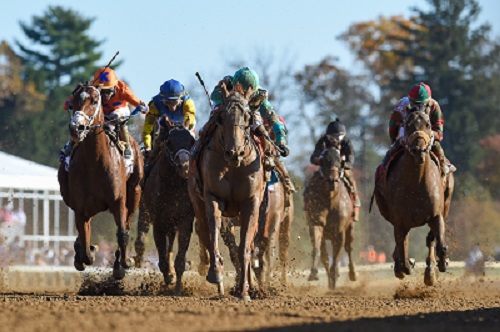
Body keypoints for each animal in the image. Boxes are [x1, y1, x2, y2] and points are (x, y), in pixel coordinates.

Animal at [57, 82, 143, 278]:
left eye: (95, 101)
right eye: (73, 101)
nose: (77, 128)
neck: (94, 162)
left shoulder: (118, 201)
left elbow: (122, 233)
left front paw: (123, 263)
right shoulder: (80, 207)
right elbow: (85, 244)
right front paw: (86, 252)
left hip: (135, 192)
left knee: (127, 223)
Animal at [135, 115, 195, 292]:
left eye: (192, 141)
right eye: (169, 141)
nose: (185, 167)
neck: (173, 185)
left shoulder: (185, 220)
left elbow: (180, 258)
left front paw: (178, 287)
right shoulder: (159, 222)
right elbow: (162, 257)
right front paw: (168, 277)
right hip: (146, 211)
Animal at [188, 91, 266, 300]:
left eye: (247, 118)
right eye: (221, 117)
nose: (234, 153)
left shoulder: (251, 202)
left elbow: (244, 247)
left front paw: (245, 291)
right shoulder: (213, 197)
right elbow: (213, 233)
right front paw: (216, 272)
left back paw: (252, 286)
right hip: (197, 201)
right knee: (204, 231)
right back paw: (220, 286)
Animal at [302, 147, 358, 290]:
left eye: (339, 161)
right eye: (325, 161)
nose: (333, 180)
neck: (330, 200)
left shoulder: (339, 231)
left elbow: (337, 254)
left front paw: (334, 276)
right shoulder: (316, 224)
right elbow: (321, 252)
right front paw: (314, 273)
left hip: (350, 228)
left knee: (349, 248)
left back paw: (353, 274)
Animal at [374, 110, 456, 286]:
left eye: (428, 124)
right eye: (407, 125)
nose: (419, 149)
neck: (416, 184)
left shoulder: (436, 215)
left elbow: (439, 245)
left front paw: (440, 264)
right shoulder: (400, 221)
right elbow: (402, 251)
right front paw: (406, 265)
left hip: (445, 206)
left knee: (430, 239)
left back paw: (430, 270)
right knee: (402, 244)